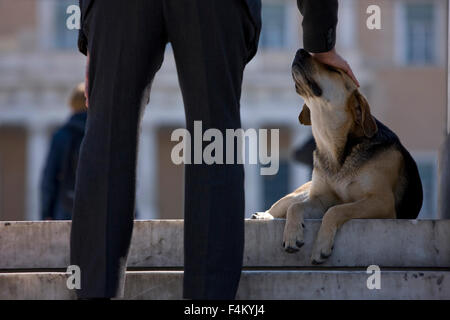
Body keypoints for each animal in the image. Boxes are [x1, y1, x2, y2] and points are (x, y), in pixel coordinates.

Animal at [253, 49, 422, 264]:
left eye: (333, 69)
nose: (301, 50)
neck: (335, 149)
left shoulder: (381, 201)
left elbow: (336, 210)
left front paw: (320, 245)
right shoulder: (319, 198)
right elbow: (296, 208)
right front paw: (292, 234)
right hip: (300, 192)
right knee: (284, 206)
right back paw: (263, 216)